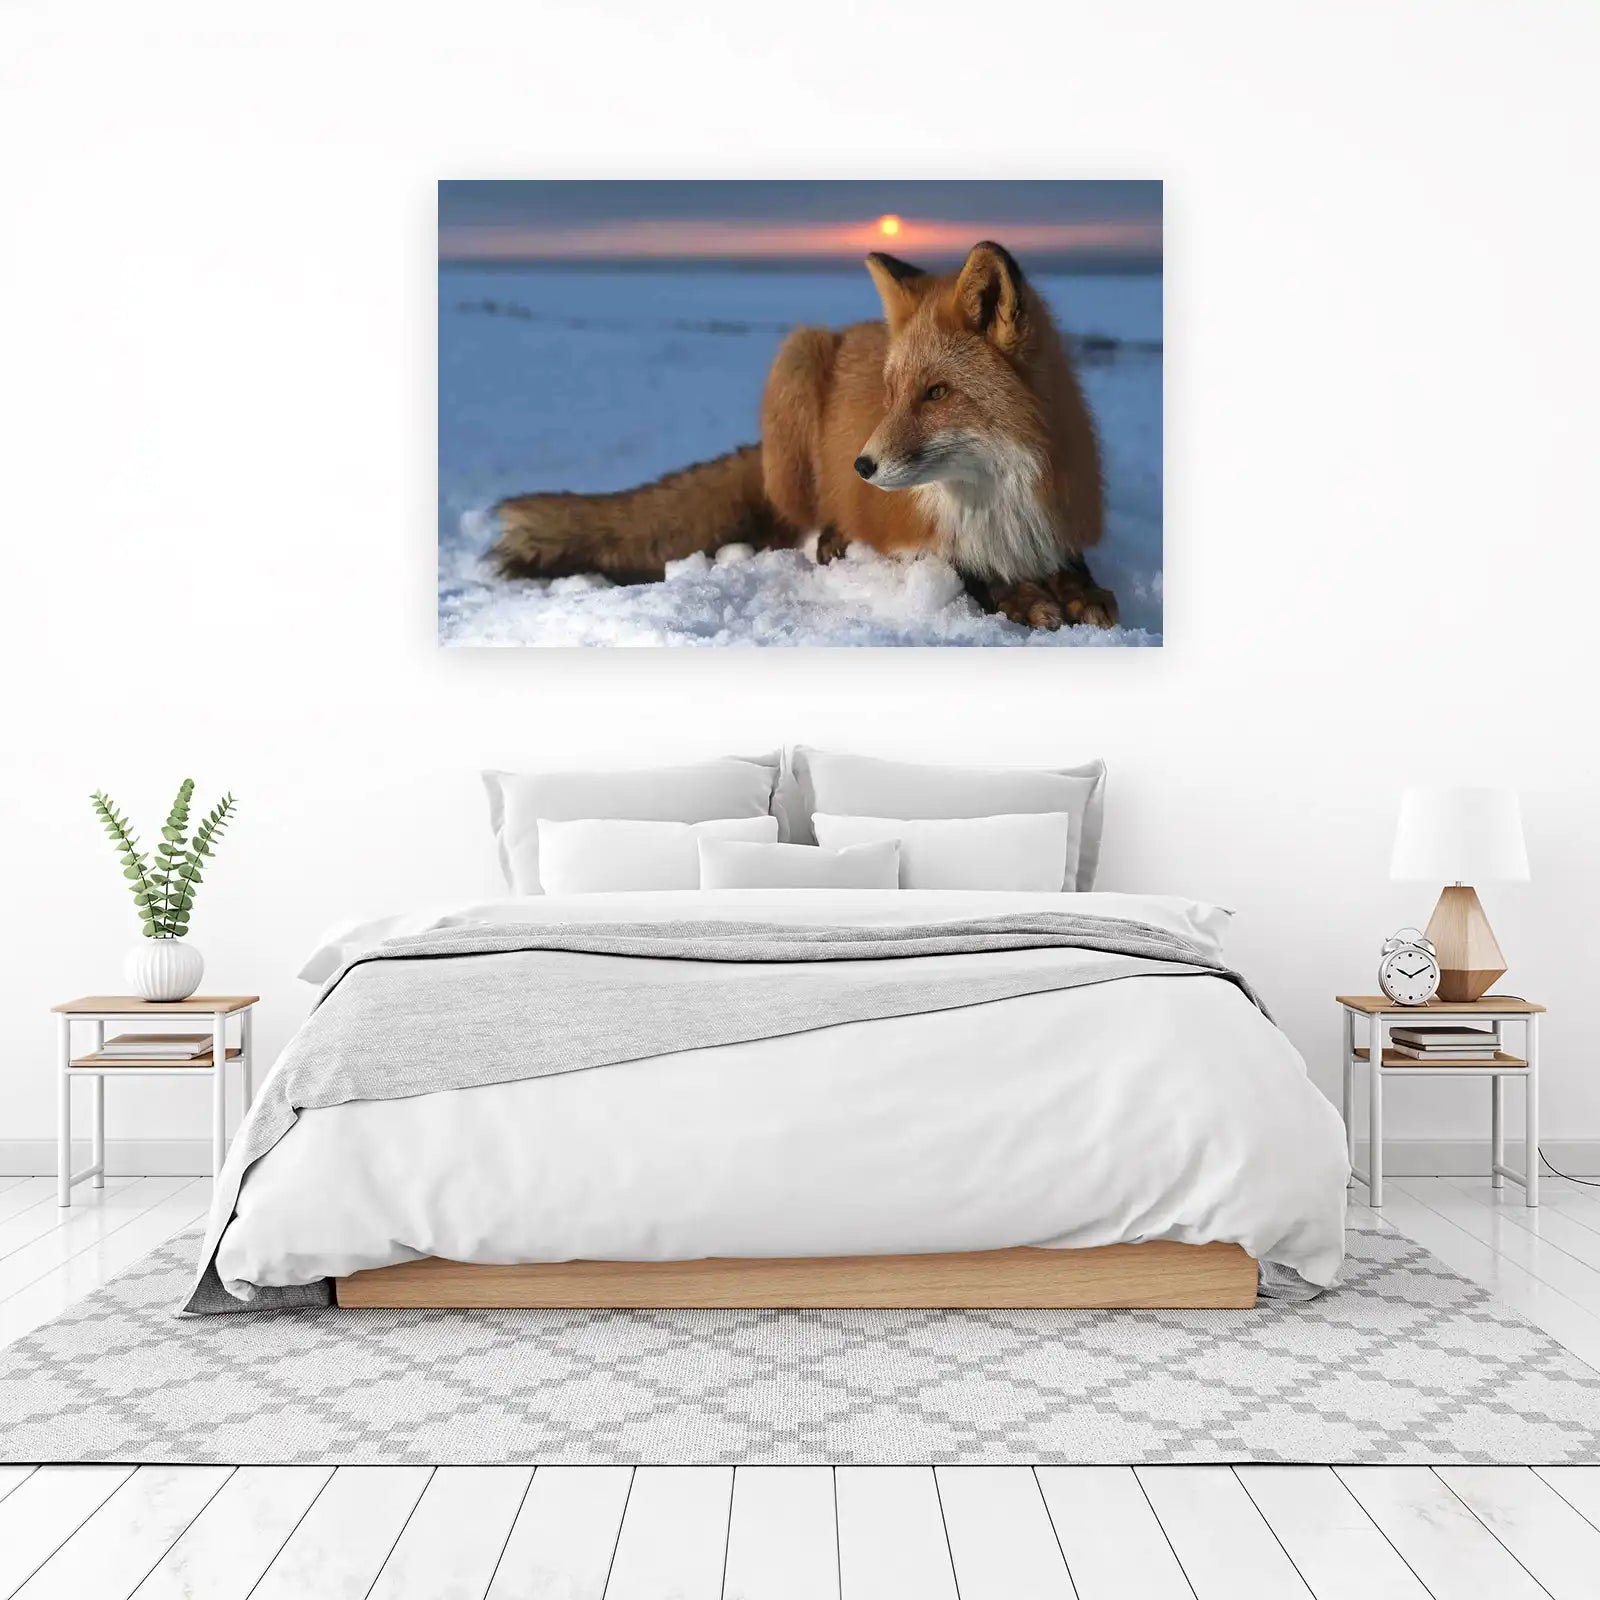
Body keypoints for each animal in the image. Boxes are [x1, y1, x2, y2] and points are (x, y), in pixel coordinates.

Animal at [491, 241, 1117, 630]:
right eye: (890, 393)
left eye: (937, 392)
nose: (861, 467)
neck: (995, 502)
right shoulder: (915, 538)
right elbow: (971, 574)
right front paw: (1024, 598)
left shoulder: (1057, 518)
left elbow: (1076, 567)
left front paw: (1081, 594)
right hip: (797, 358)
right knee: (798, 522)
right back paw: (831, 537)